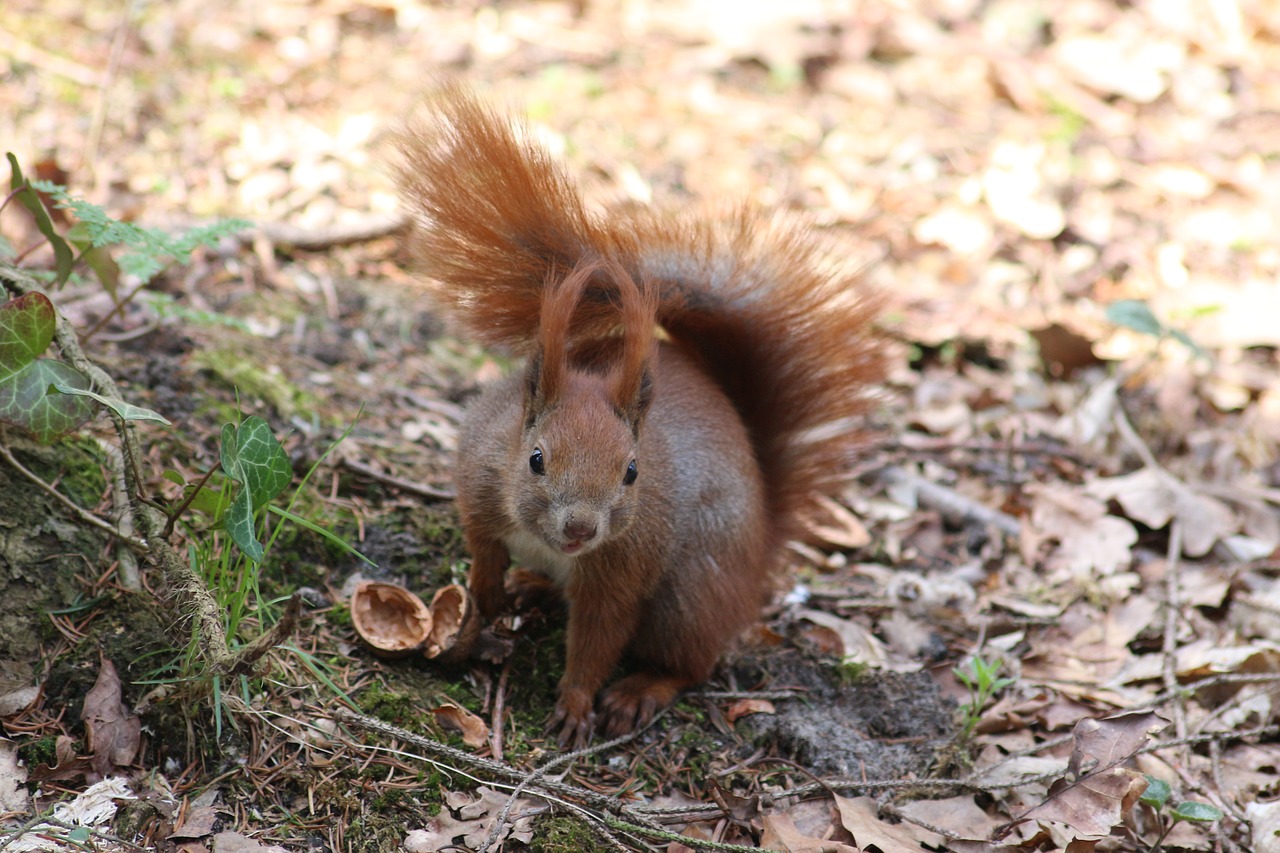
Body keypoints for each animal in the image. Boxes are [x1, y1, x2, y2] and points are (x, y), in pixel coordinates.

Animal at [394, 83, 885, 742]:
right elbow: (482, 547)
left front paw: (577, 704)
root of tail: (759, 557)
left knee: (690, 664)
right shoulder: (479, 477)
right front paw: (486, 598)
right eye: (535, 459)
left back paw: (640, 689)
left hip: (690, 596)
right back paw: (530, 587)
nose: (581, 529)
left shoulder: (623, 570)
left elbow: (599, 640)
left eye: (632, 471)